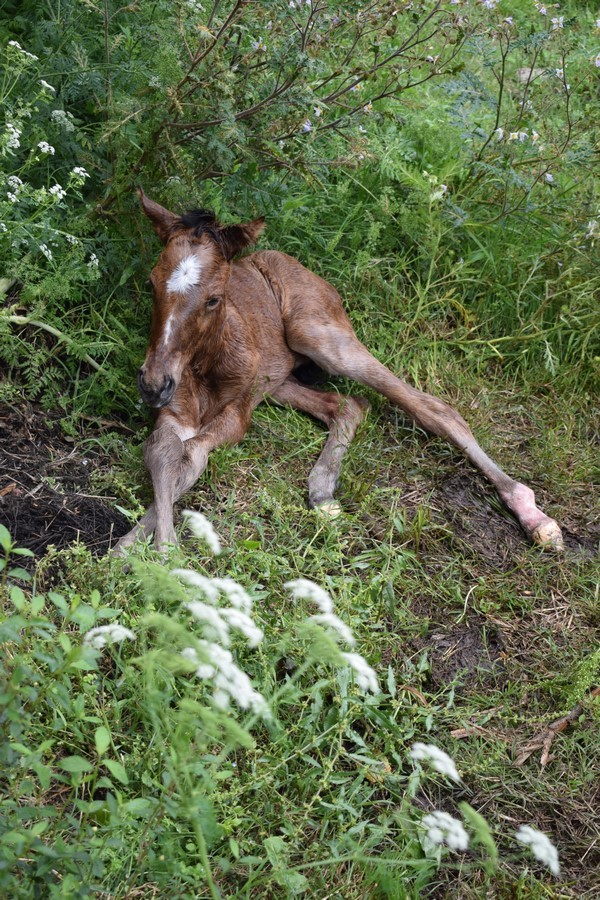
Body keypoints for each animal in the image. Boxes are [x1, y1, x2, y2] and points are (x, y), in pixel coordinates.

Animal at [112, 189, 564, 552]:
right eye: (151, 283)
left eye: (213, 299)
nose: (153, 383)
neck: (205, 366)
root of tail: (301, 267)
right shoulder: (176, 411)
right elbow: (164, 451)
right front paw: (131, 546)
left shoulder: (238, 415)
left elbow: (192, 457)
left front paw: (160, 550)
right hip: (278, 380)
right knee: (347, 404)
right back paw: (323, 490)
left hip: (320, 336)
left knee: (434, 409)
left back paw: (534, 516)